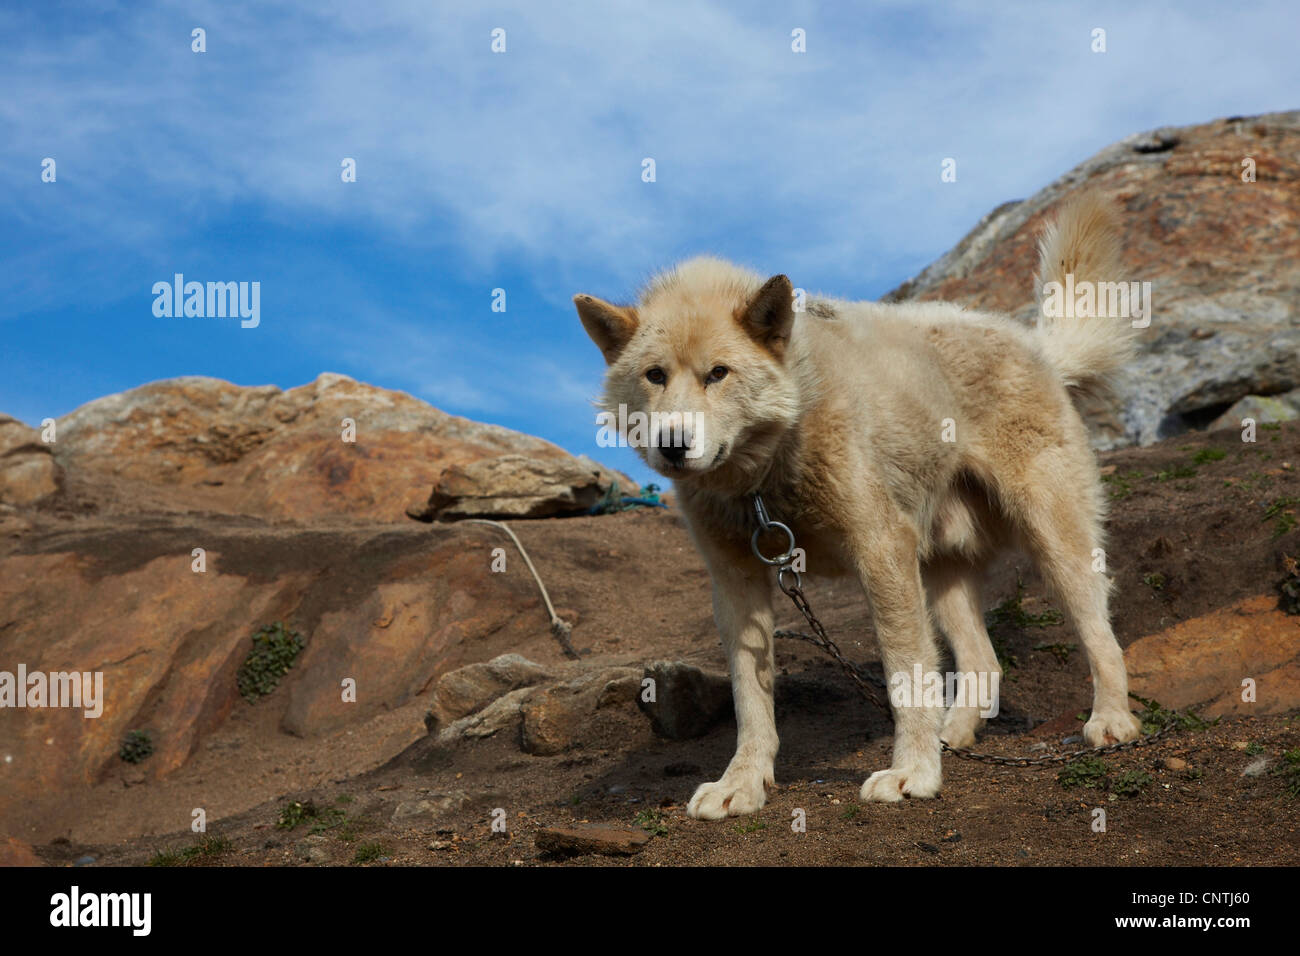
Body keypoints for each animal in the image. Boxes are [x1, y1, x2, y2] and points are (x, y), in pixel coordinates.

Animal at [574, 196, 1144, 822]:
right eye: (654, 375)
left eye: (718, 373)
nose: (673, 444)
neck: (765, 474)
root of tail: (1032, 344)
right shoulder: (737, 584)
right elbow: (751, 700)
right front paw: (742, 783)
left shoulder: (881, 553)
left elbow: (905, 674)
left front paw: (913, 772)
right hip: (940, 573)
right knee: (984, 662)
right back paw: (953, 735)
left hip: (1055, 541)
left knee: (1102, 635)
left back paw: (1112, 720)